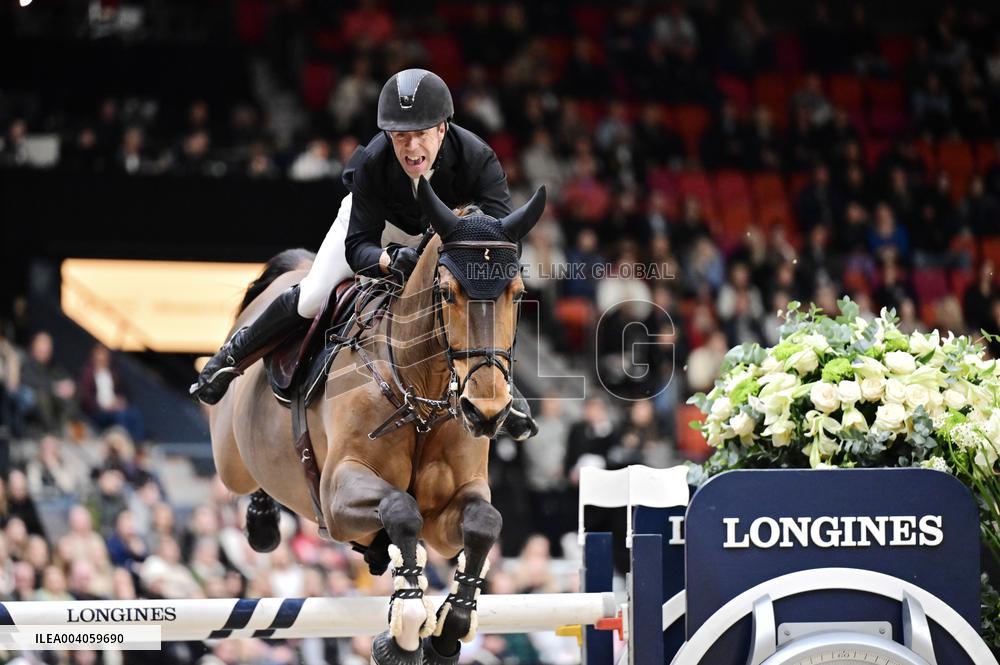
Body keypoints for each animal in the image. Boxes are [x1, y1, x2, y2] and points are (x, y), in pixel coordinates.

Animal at [207, 177, 545, 665]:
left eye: (516, 293)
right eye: (447, 292)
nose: (485, 413)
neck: (421, 396)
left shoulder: (452, 509)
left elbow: (484, 523)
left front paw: (447, 630)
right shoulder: (336, 496)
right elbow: (400, 509)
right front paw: (405, 629)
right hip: (230, 458)